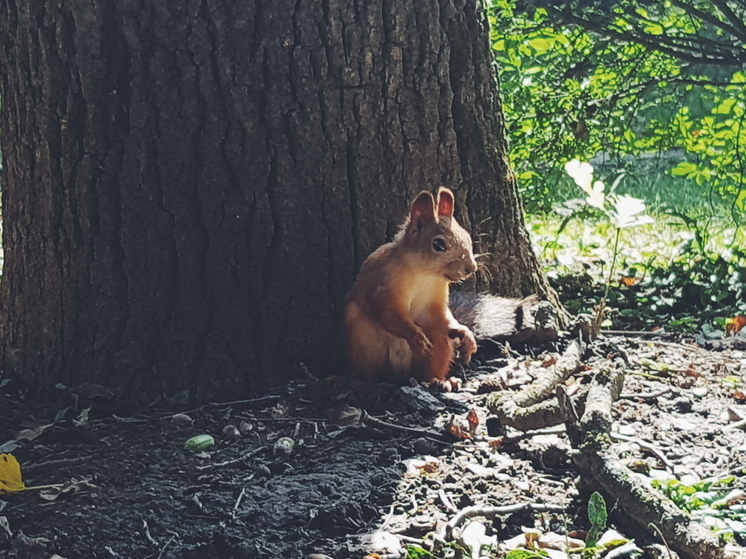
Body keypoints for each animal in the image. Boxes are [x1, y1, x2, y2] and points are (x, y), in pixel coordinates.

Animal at [342, 186, 476, 388]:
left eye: (467, 237)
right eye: (438, 244)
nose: (471, 268)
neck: (424, 274)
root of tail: (401, 376)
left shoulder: (436, 298)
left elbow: (443, 317)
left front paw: (465, 333)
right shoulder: (384, 283)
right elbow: (388, 313)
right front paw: (415, 336)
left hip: (438, 344)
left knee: (436, 348)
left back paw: (441, 381)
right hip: (360, 336)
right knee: (369, 374)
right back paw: (357, 381)